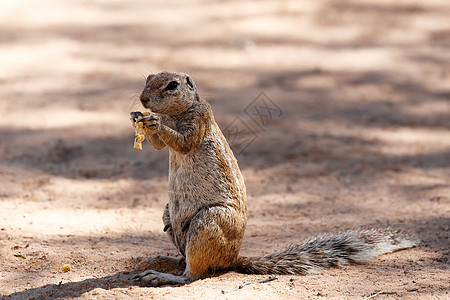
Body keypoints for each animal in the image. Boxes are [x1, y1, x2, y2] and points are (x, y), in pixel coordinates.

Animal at [128, 72, 416, 286]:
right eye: (148, 77)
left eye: (172, 85)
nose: (143, 99)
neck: (175, 113)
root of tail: (232, 260)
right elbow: (158, 146)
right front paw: (138, 119)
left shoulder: (199, 119)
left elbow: (185, 143)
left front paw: (153, 122)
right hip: (170, 213)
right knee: (186, 257)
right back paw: (167, 259)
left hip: (210, 220)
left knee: (195, 274)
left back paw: (163, 275)